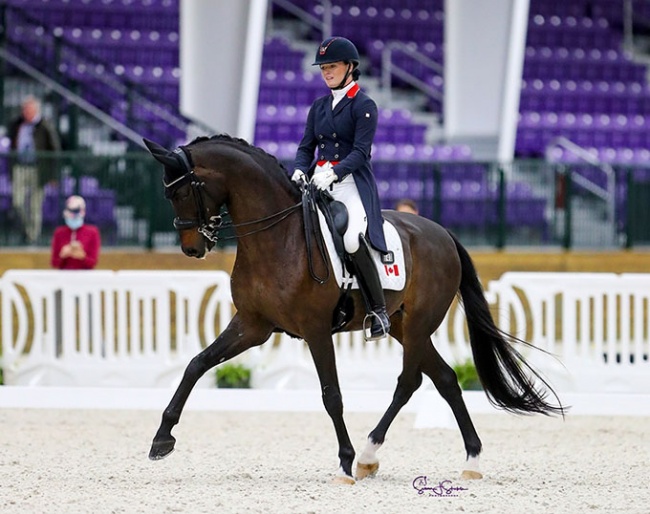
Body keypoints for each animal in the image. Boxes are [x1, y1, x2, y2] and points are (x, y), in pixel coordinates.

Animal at [142, 134, 560, 482]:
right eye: (167, 195)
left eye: (184, 192)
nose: (192, 249)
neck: (277, 238)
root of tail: (441, 232)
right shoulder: (252, 325)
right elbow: (196, 364)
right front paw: (162, 439)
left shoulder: (314, 329)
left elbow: (332, 394)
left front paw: (344, 461)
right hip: (403, 326)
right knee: (444, 378)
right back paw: (469, 459)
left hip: (419, 324)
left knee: (409, 382)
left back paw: (367, 455)